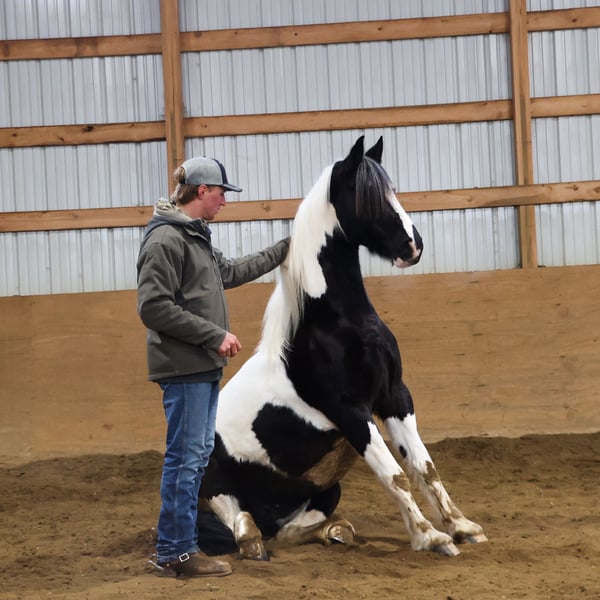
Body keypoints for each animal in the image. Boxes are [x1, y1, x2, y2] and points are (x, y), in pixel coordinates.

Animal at [197, 136, 487, 559]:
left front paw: (463, 527)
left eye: (392, 189)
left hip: (325, 488)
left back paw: (334, 531)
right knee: (239, 520)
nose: (412, 246)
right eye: (367, 197)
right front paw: (431, 537)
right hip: (213, 481)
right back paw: (252, 540)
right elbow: (395, 475)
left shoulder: (395, 396)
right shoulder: (351, 411)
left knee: (287, 531)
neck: (338, 323)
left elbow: (423, 466)